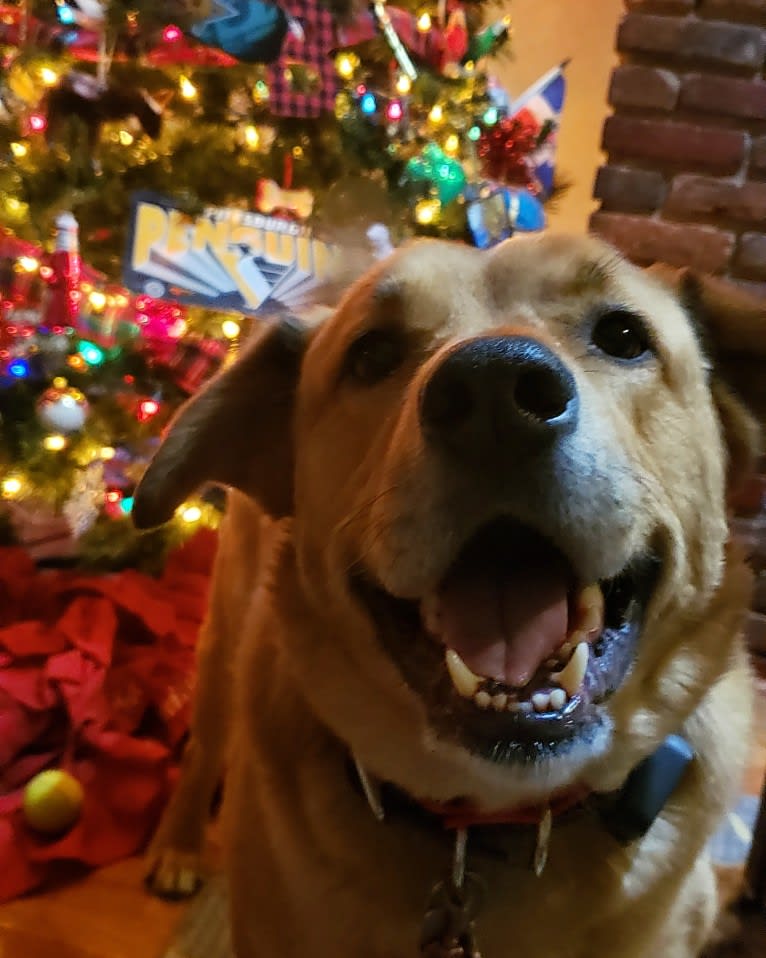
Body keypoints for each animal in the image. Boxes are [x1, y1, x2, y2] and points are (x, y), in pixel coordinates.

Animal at [135, 234, 764, 958]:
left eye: (623, 336)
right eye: (371, 354)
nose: (497, 391)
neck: (489, 820)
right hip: (224, 643)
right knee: (205, 746)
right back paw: (178, 847)